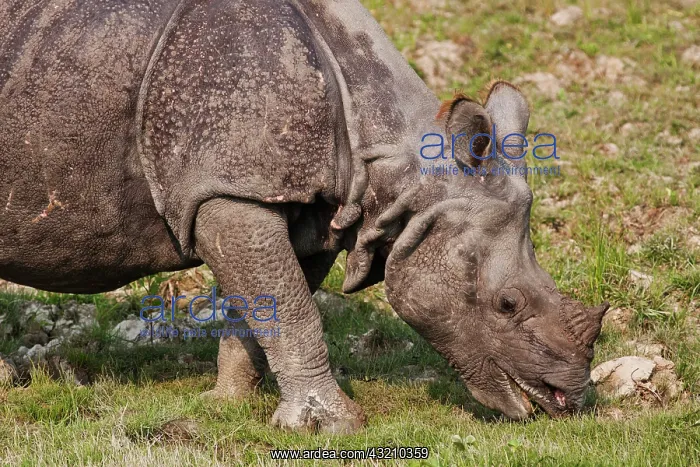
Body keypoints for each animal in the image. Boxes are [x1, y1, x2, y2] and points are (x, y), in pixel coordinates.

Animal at [0, 0, 609, 433]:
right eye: (507, 305)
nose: (570, 395)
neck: (396, 166)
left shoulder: (303, 209)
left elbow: (265, 306)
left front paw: (228, 403)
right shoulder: (229, 190)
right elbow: (292, 309)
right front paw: (336, 425)